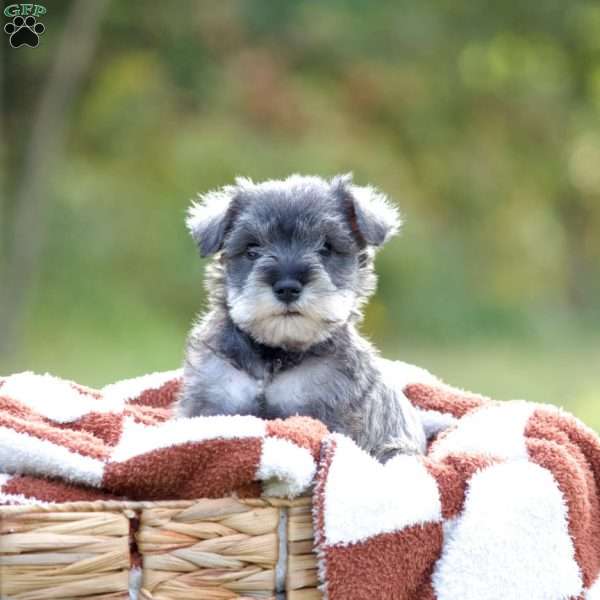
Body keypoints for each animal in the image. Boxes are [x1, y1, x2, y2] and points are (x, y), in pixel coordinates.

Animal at [175, 173, 426, 460]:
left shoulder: (327, 413)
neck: (275, 353)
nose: (287, 288)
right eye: (252, 250)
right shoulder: (210, 402)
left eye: (326, 247)